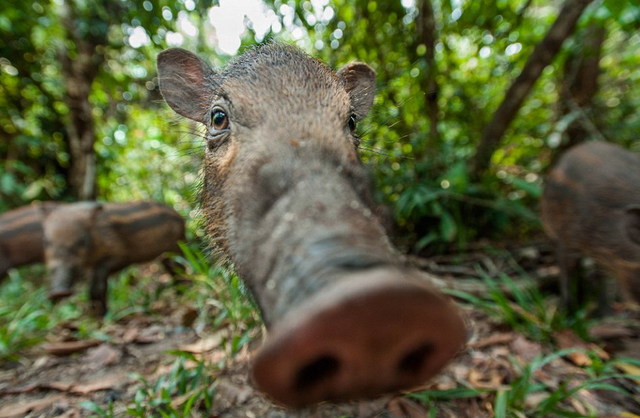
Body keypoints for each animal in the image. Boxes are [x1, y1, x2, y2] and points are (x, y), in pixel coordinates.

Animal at [42, 201, 185, 316]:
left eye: (82, 241)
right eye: (49, 242)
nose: (58, 293)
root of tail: (179, 216)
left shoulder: (118, 256)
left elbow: (98, 286)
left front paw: (102, 315)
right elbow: (94, 287)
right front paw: (97, 314)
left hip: (177, 249)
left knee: (181, 268)